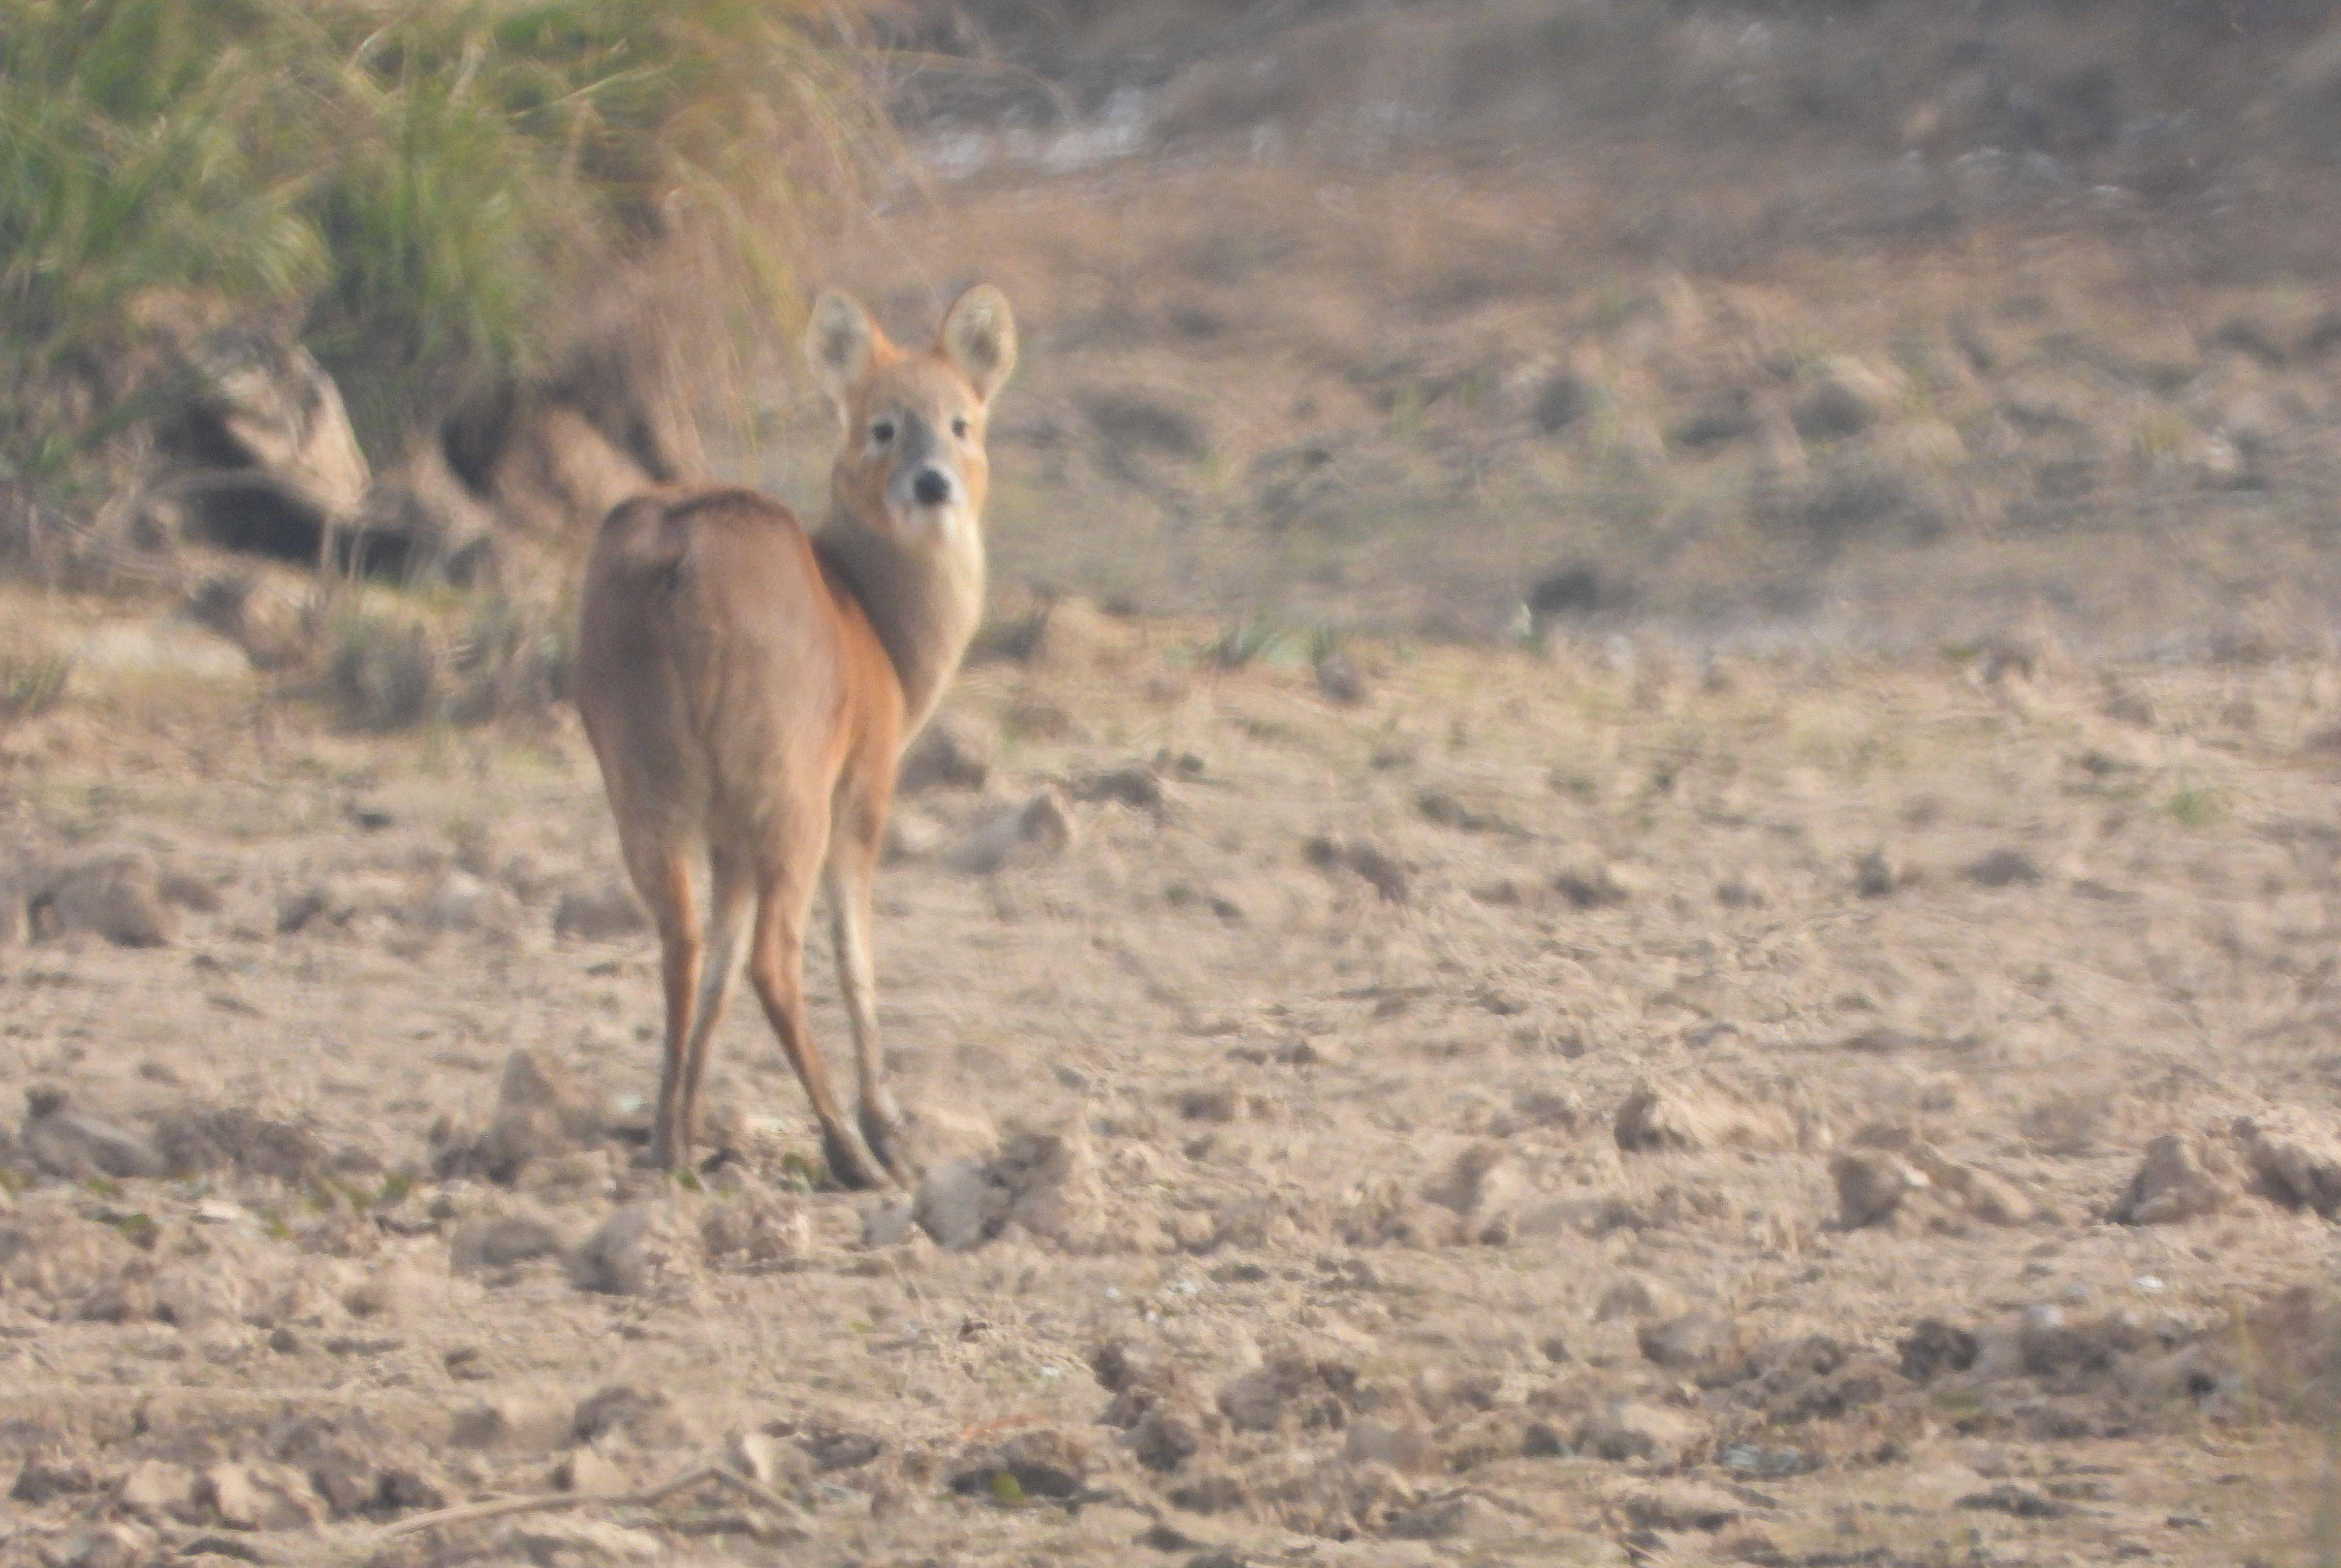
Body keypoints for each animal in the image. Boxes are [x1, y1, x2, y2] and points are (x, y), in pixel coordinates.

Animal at [576, 285, 1016, 1193]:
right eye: (882, 425)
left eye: (961, 420)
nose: (933, 483)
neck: (877, 632)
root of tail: (677, 554)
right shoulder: (865, 784)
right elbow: (855, 954)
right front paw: (889, 1124)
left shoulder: (726, 834)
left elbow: (714, 968)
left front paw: (688, 1126)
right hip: (789, 792)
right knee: (774, 958)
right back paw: (853, 1151)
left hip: (646, 785)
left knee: (683, 941)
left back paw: (669, 1146)